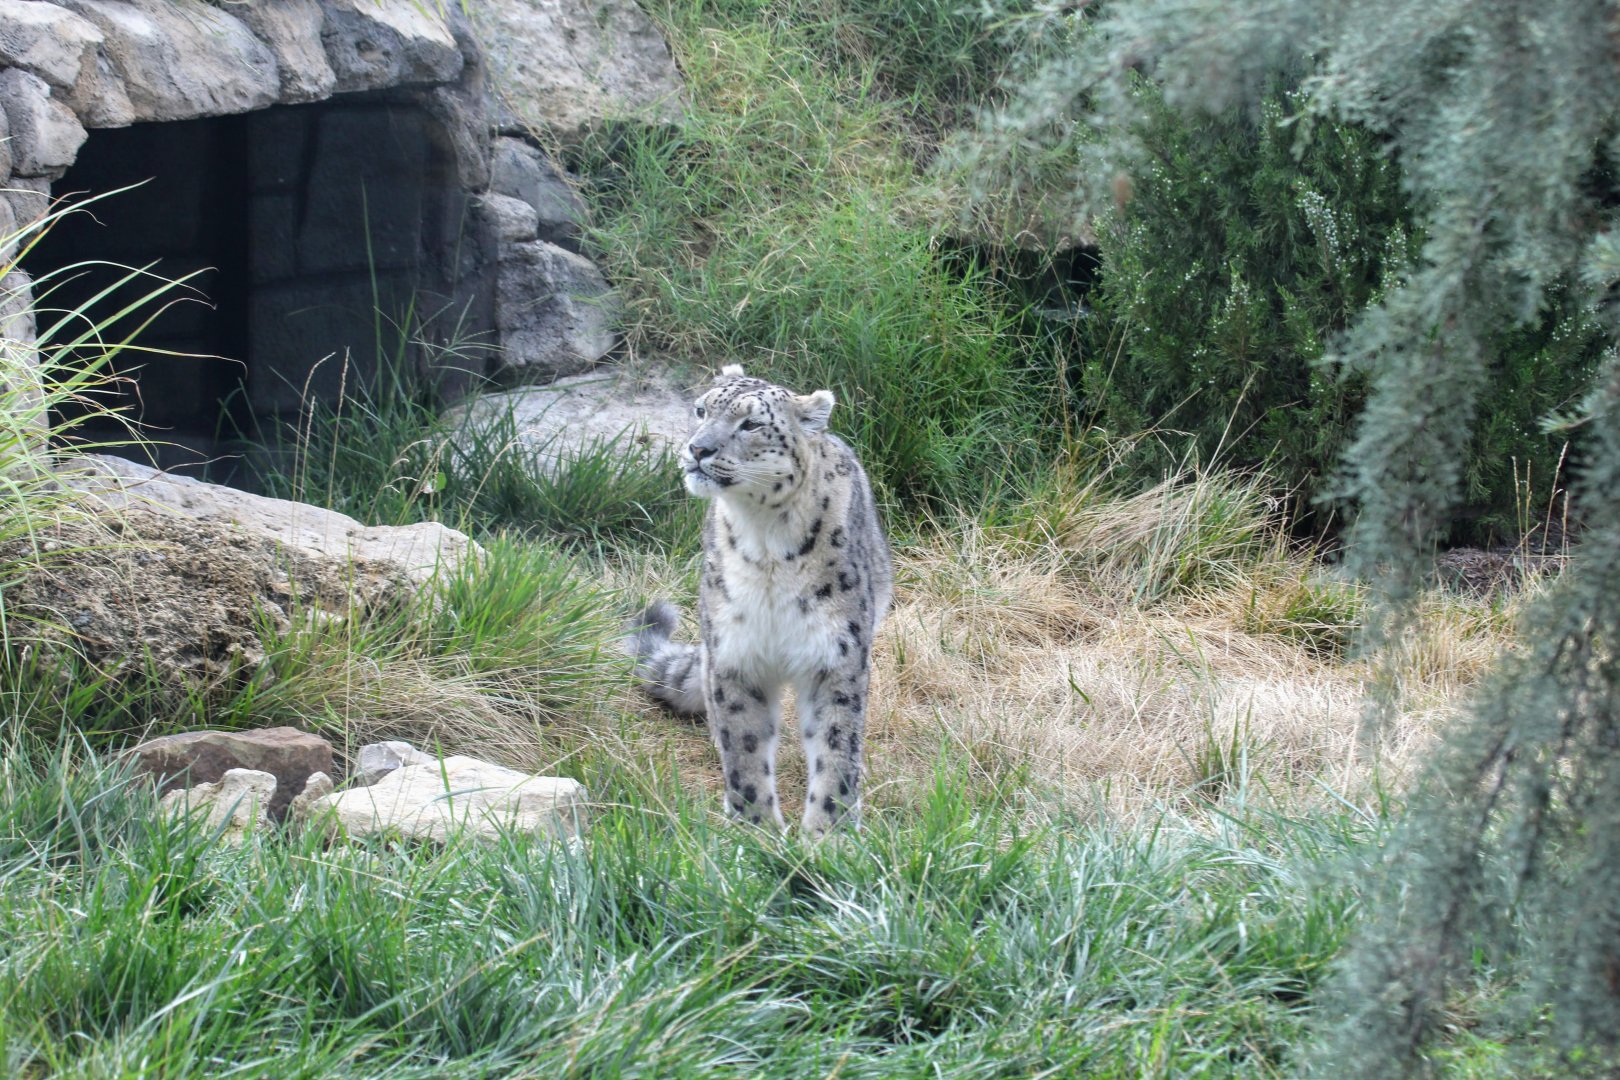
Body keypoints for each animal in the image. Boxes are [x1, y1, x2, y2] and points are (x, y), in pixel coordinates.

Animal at [626, 365, 893, 834]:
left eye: (750, 424)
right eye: (701, 409)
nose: (698, 448)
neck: (766, 543)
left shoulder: (835, 654)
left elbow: (836, 747)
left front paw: (830, 834)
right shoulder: (736, 652)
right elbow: (745, 745)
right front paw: (756, 830)